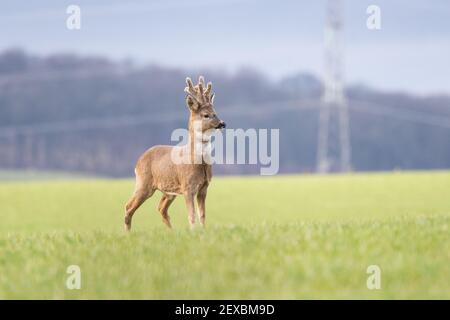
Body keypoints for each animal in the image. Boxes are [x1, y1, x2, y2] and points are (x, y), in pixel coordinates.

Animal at [124, 75, 225, 230]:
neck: (197, 162)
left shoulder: (204, 187)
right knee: (128, 207)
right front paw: (194, 232)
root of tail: (138, 161)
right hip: (143, 182)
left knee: (161, 209)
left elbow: (202, 215)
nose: (222, 123)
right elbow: (191, 216)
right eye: (206, 115)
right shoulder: (187, 187)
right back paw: (128, 233)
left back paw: (171, 232)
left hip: (168, 191)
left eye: (215, 113)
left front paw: (203, 232)